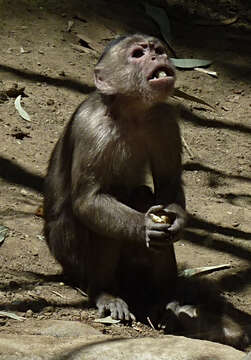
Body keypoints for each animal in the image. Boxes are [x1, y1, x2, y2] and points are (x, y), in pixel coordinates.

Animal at [43, 34, 249, 348]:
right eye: (138, 54)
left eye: (158, 50)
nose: (157, 57)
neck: (130, 112)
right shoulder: (92, 127)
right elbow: (89, 199)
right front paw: (144, 226)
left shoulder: (164, 119)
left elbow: (168, 184)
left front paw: (177, 221)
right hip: (68, 253)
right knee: (107, 209)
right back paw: (105, 293)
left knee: (142, 197)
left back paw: (165, 300)